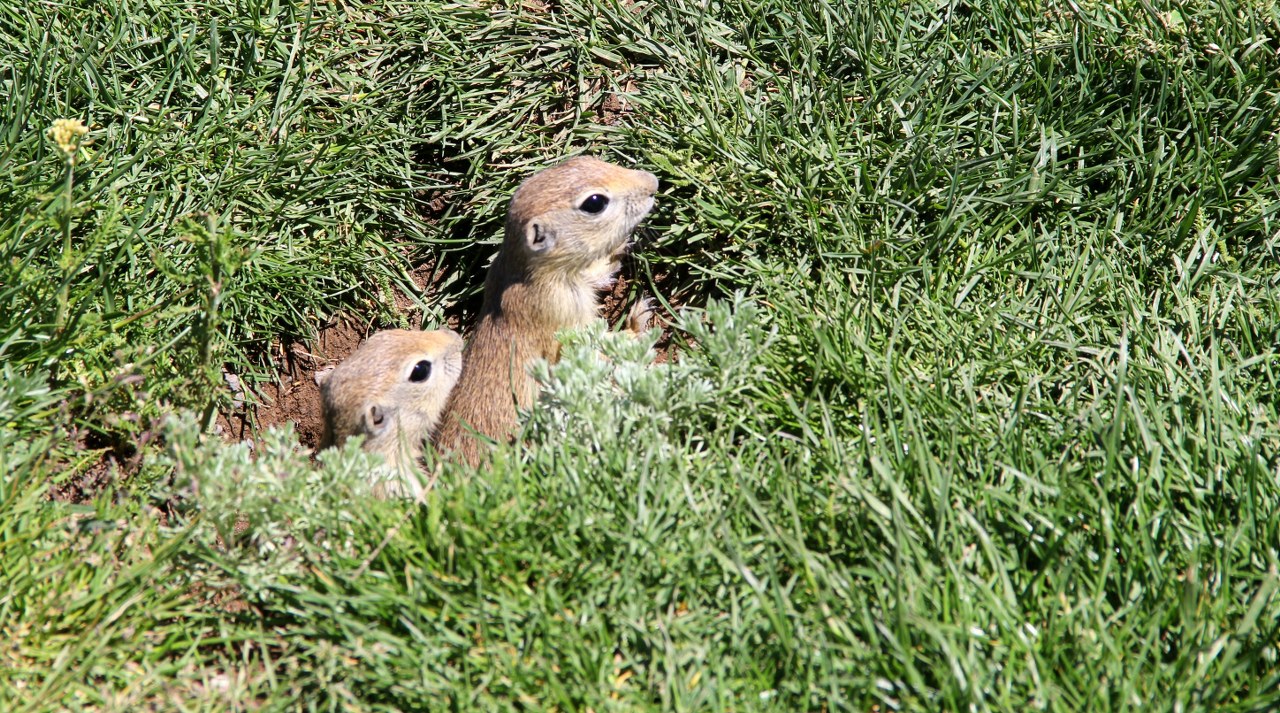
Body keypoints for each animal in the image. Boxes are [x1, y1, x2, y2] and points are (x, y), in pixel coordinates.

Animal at [437, 154, 660, 460]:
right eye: (594, 202)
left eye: (586, 158)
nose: (653, 182)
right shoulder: (561, 312)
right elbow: (589, 352)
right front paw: (638, 321)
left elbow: (595, 275)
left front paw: (622, 248)